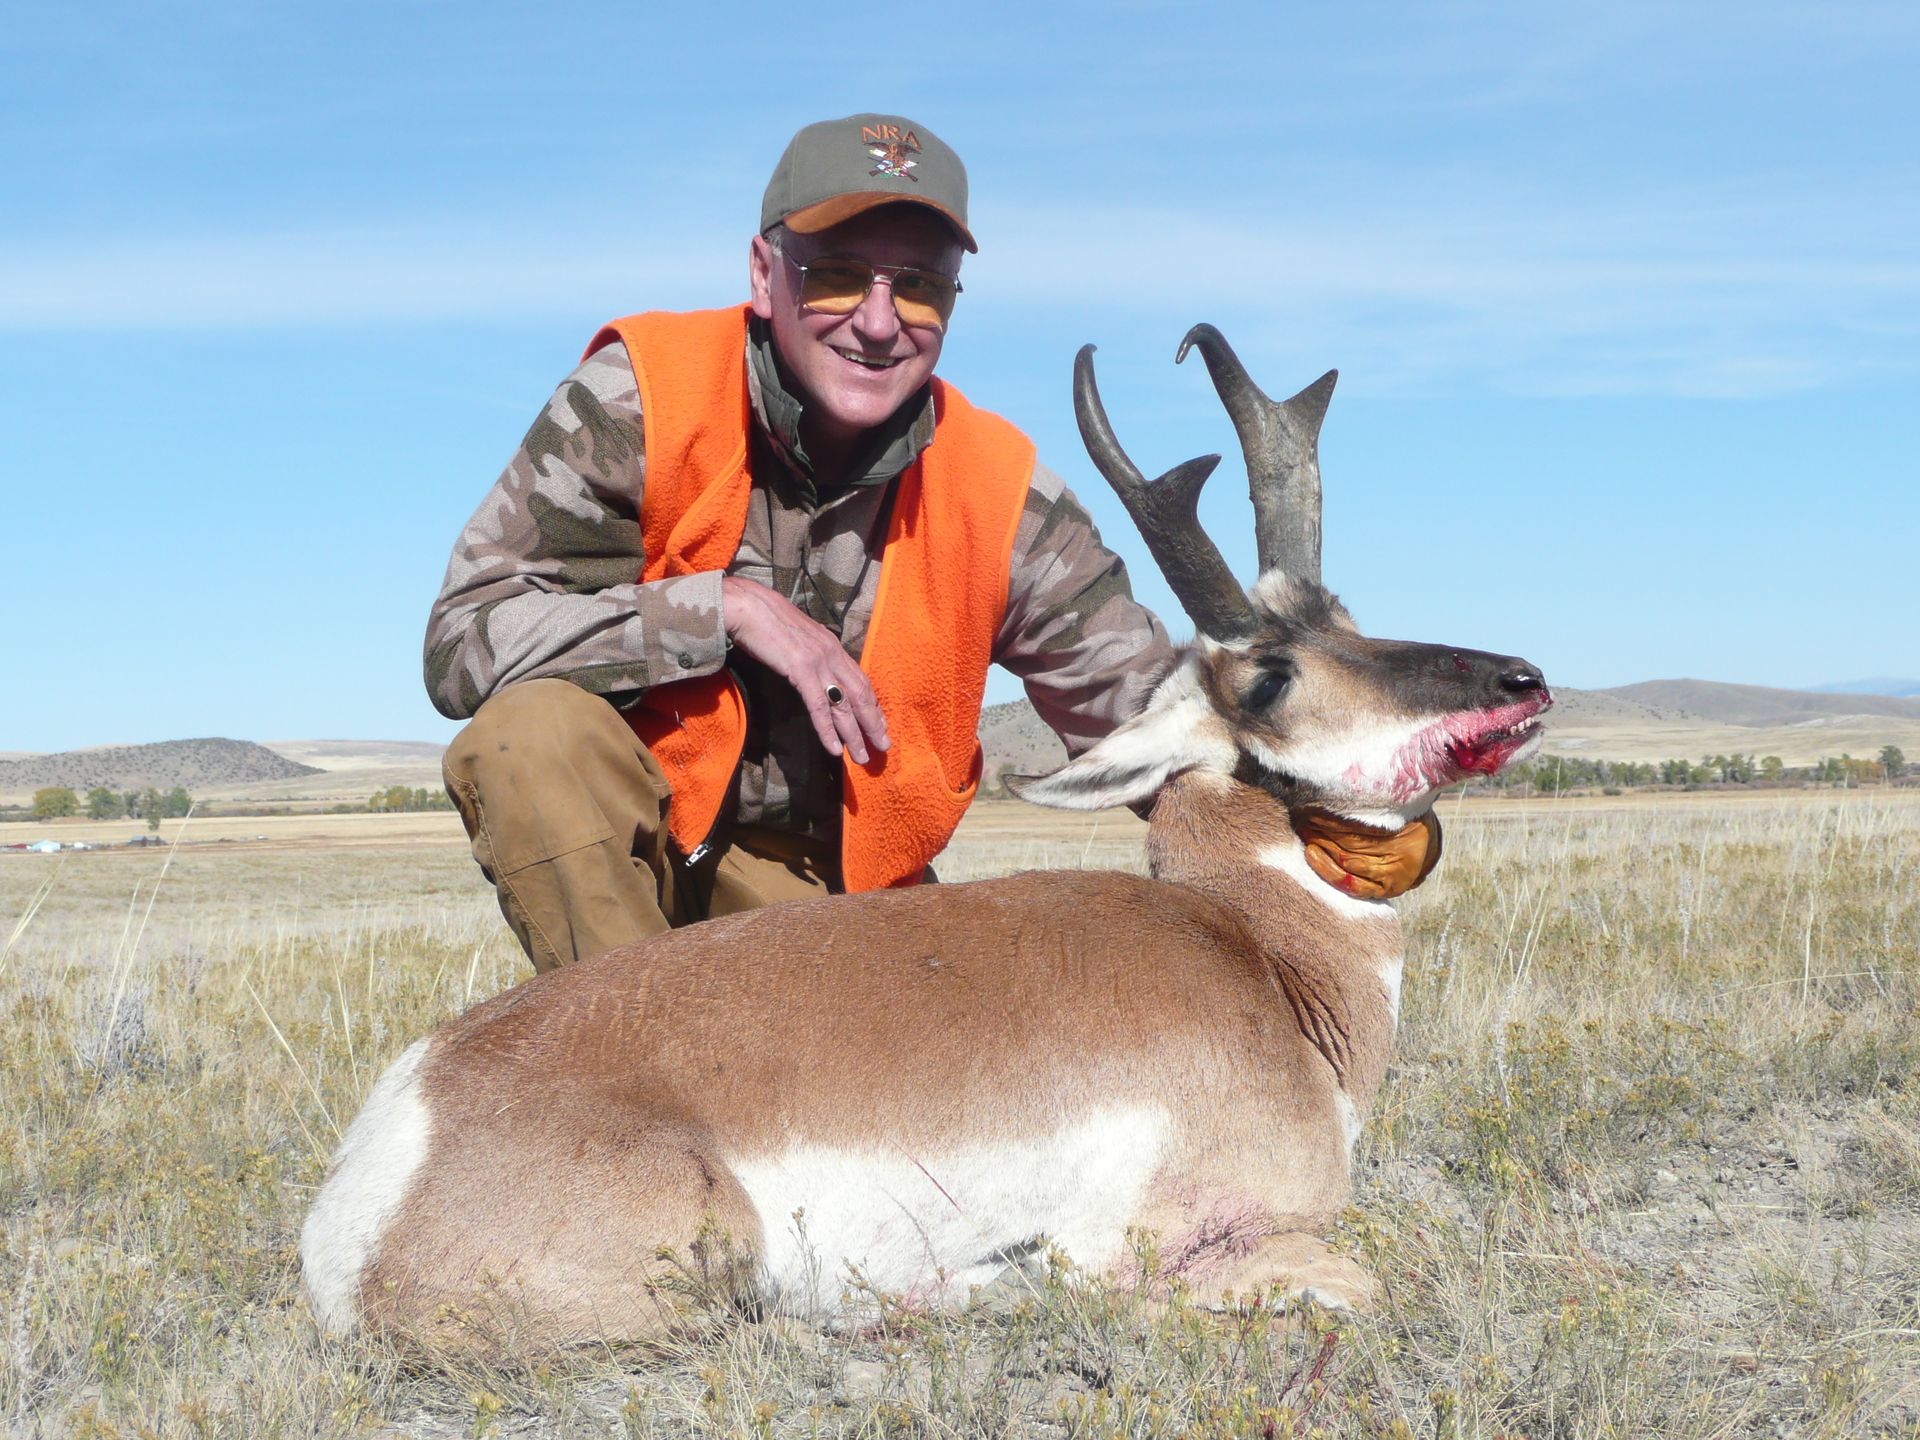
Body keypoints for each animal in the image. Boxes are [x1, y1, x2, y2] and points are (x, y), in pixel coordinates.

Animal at [301, 326, 1550, 1346]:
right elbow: (1339, 1279)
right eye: (1272, 675)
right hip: (709, 1256)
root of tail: (380, 1168)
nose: (1522, 677)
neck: (1253, 945)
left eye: (1349, 619)